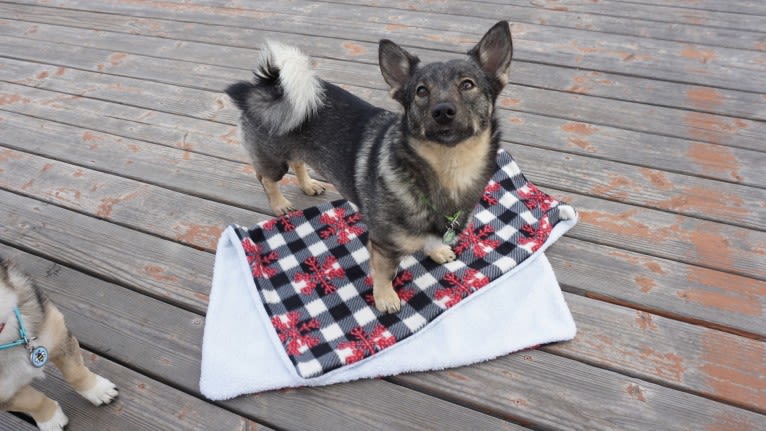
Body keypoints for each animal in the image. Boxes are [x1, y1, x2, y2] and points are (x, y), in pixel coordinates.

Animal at [0, 258, 118, 430]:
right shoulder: (4, 394)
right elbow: (33, 402)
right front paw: (52, 420)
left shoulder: (58, 334)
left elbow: (75, 373)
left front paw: (99, 390)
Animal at [228, 21, 516, 314]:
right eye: (421, 91)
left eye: (468, 84)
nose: (442, 111)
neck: (450, 168)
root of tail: (269, 86)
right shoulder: (382, 246)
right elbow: (384, 273)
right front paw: (385, 297)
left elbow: (432, 240)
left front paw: (436, 251)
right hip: (273, 159)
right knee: (265, 177)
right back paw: (279, 204)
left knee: (298, 160)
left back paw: (308, 185)